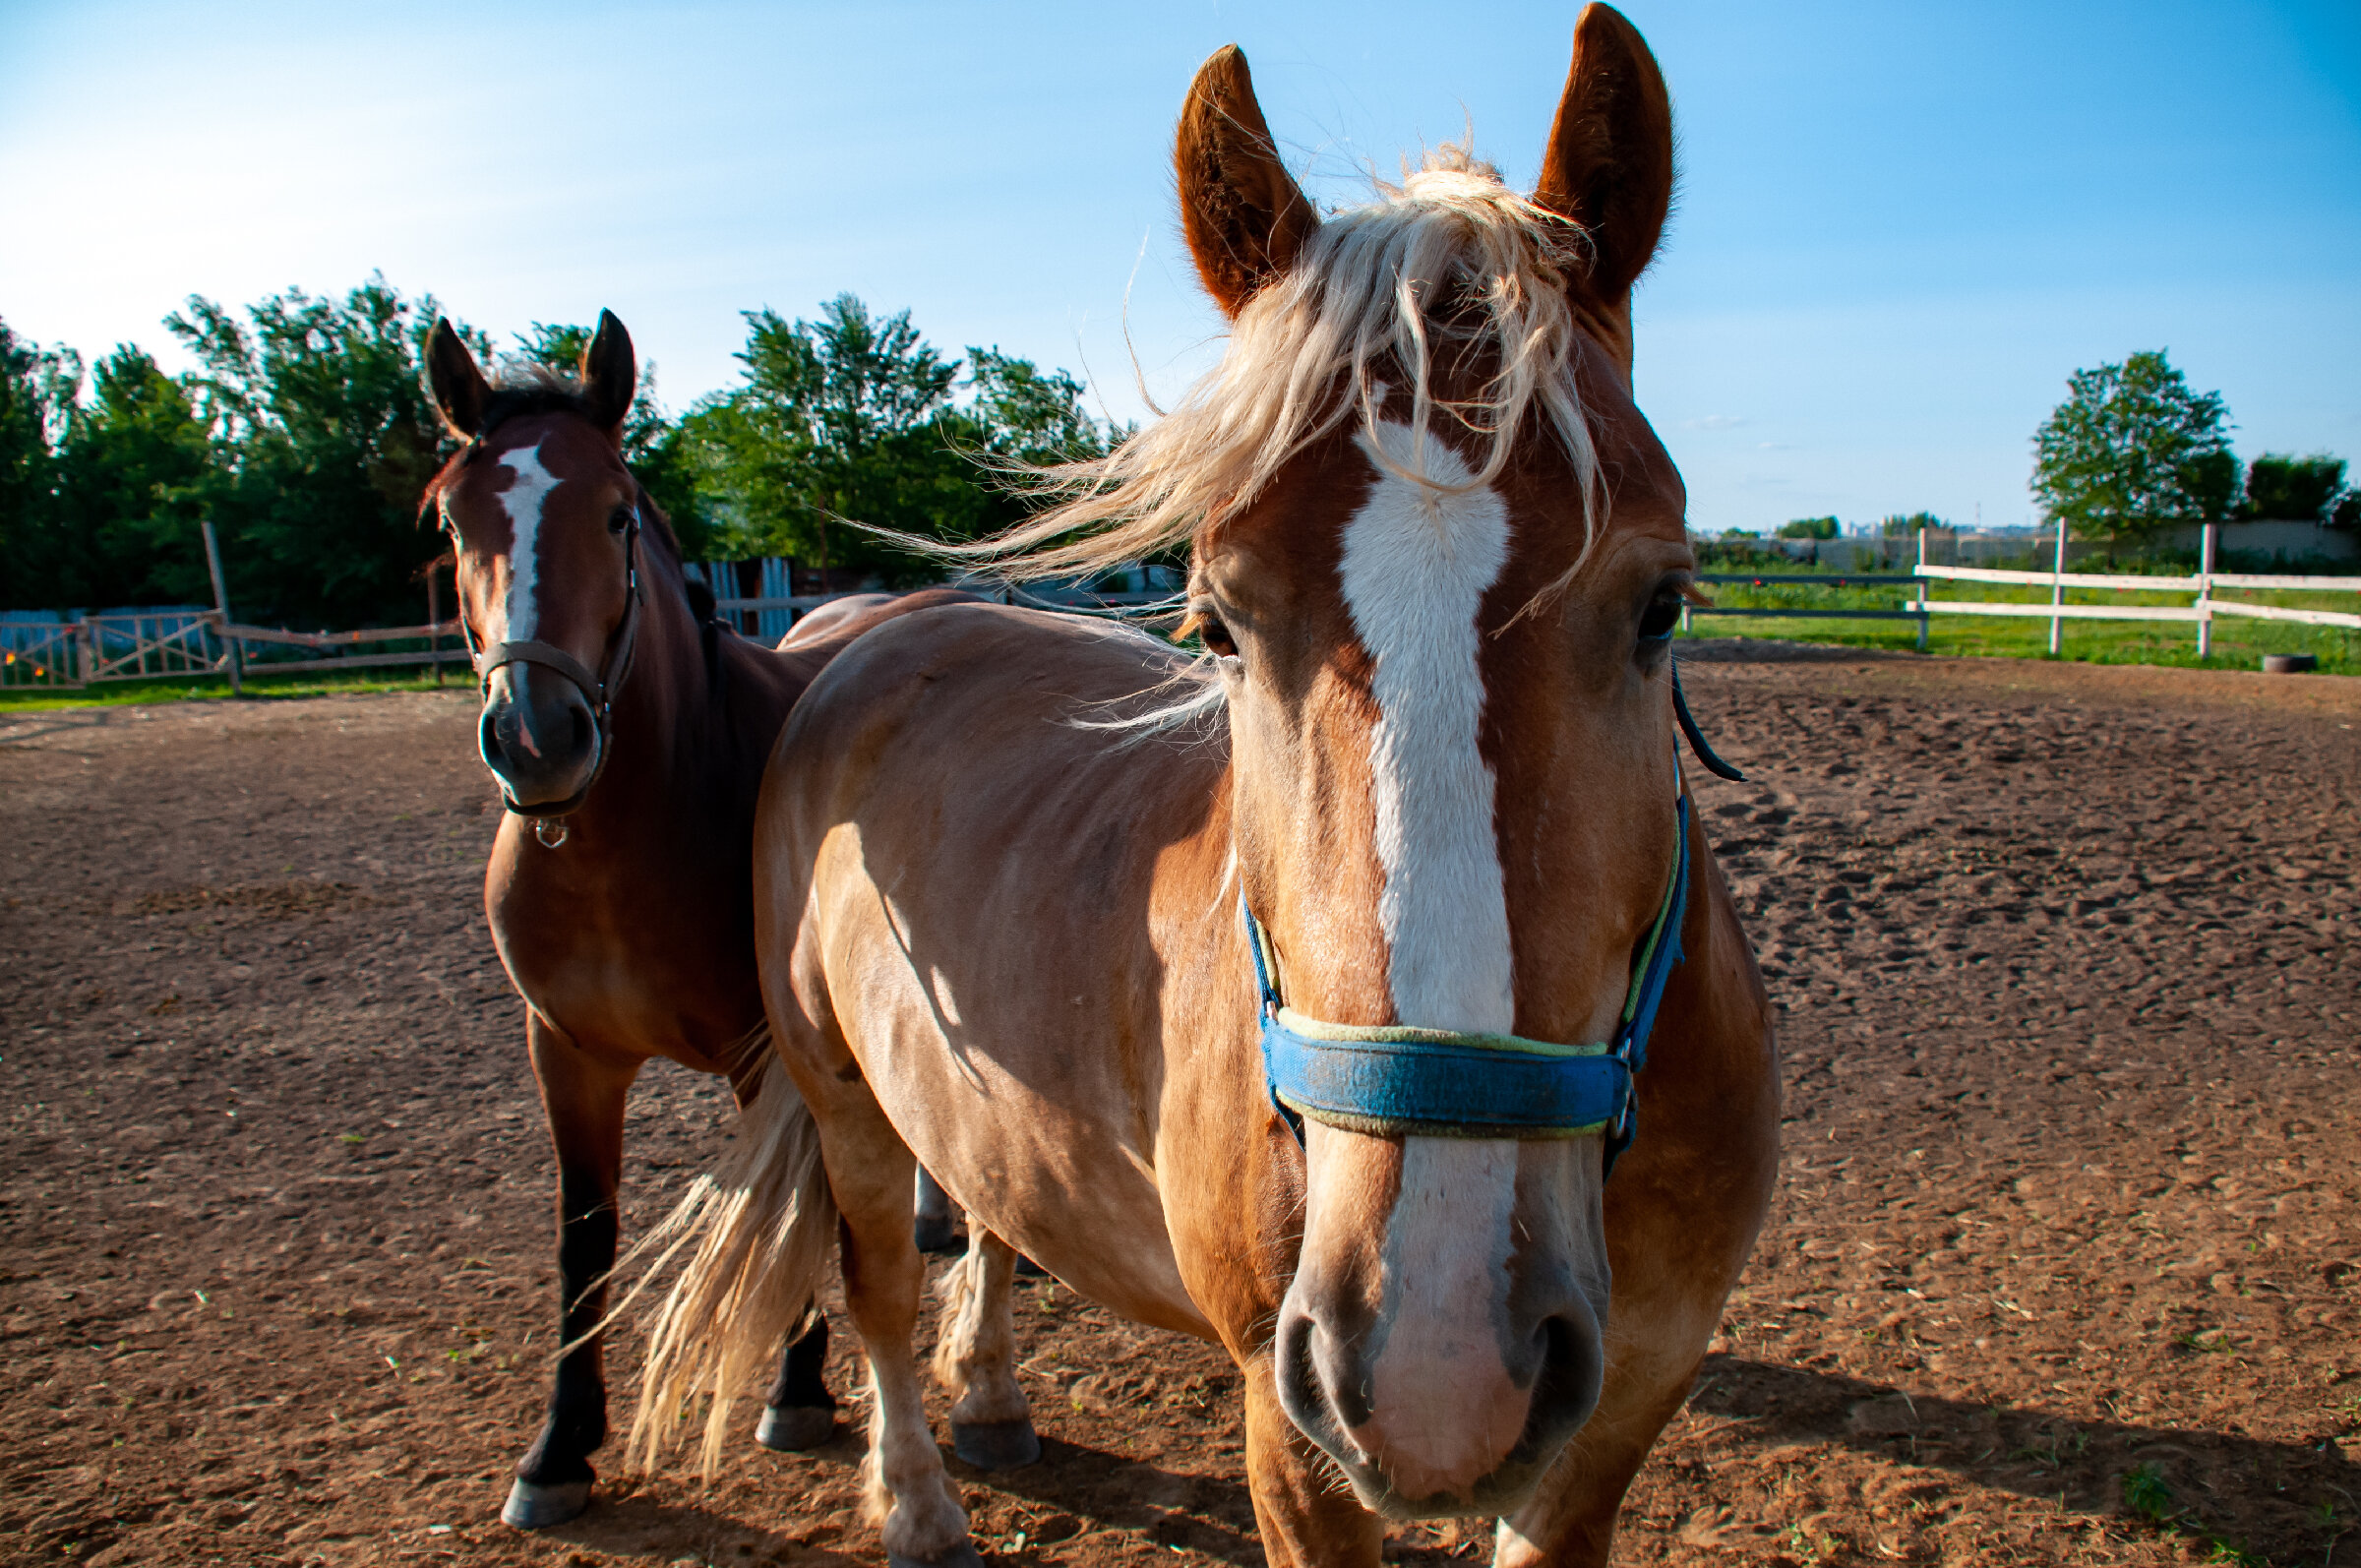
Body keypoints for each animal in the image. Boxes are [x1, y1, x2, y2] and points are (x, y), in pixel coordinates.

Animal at [425, 319, 977, 1530]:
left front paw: (797, 1391)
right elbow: (584, 1235)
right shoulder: (564, 1053)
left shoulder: (763, 1052)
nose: (537, 737)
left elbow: (789, 1221)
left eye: (617, 512)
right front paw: (558, 1448)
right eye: (453, 520)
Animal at [641, 6, 1775, 1558]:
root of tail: (874, 636)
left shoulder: (1616, 1421)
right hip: (845, 1101)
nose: (1434, 1356)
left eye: (1663, 603)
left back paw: (992, 1390)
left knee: (990, 1214)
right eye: (1217, 623)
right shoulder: (1291, 1430)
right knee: (874, 1285)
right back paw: (920, 1498)